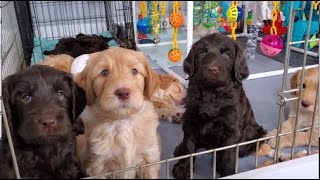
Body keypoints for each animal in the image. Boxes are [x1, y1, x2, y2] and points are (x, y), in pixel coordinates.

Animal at [74, 47, 160, 179]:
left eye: (134, 71)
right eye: (104, 72)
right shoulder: (98, 167)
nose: (123, 92)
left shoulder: (149, 161)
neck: (123, 122)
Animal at [171, 33, 266, 178]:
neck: (212, 93)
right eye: (202, 53)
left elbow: (228, 155)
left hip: (259, 132)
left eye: (226, 54)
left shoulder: (231, 130)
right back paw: (179, 149)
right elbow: (189, 146)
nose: (211, 69)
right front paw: (183, 169)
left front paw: (228, 173)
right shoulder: (190, 121)